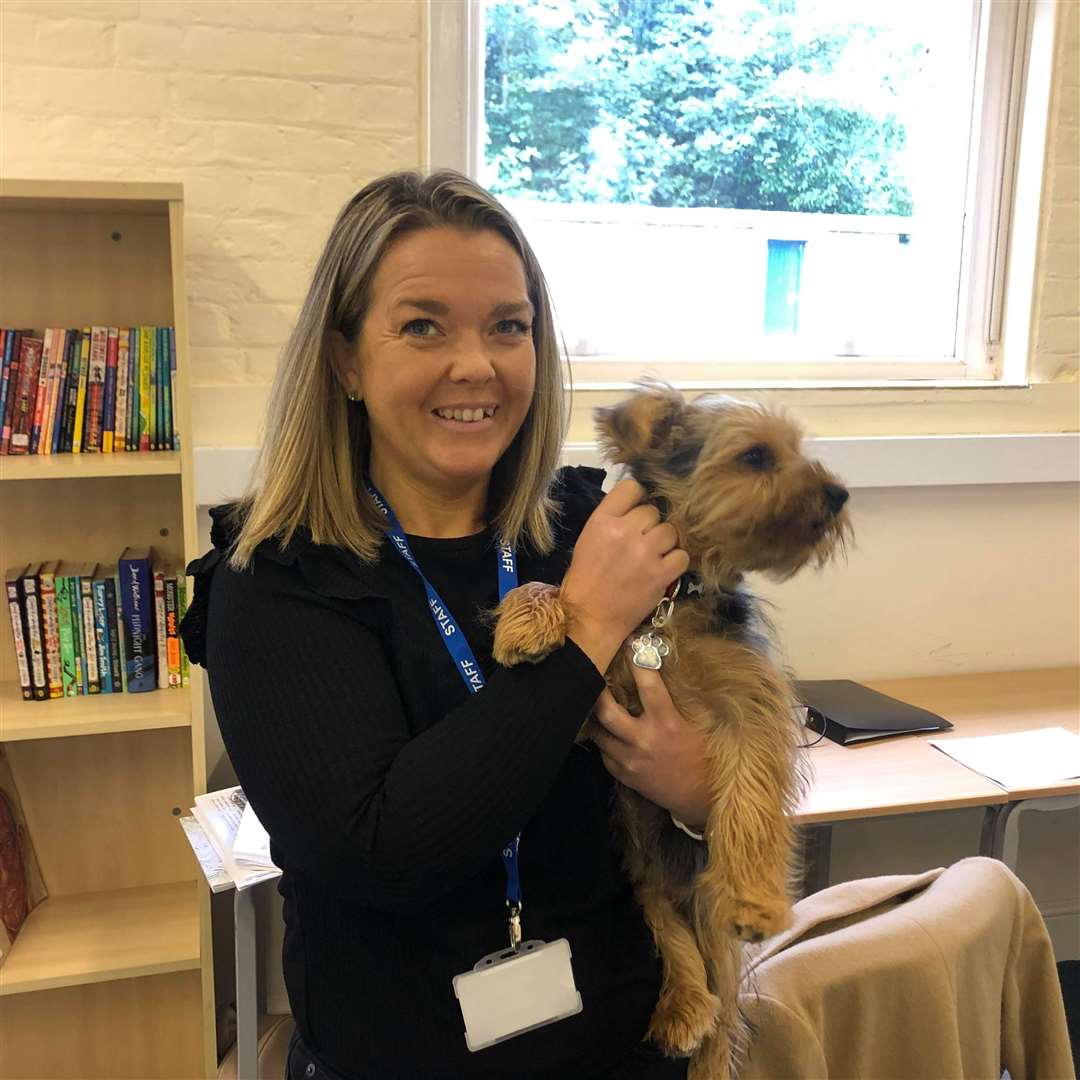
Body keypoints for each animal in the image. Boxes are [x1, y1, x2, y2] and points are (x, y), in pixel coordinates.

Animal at [490, 384, 851, 1075]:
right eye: (757, 456)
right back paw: (681, 1006)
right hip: (642, 866)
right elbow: (556, 590)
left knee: (723, 997)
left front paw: (756, 899)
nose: (838, 493)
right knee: (670, 932)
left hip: (709, 909)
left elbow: (749, 798)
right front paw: (527, 620)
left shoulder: (750, 709)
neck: (673, 599)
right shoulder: (592, 704)